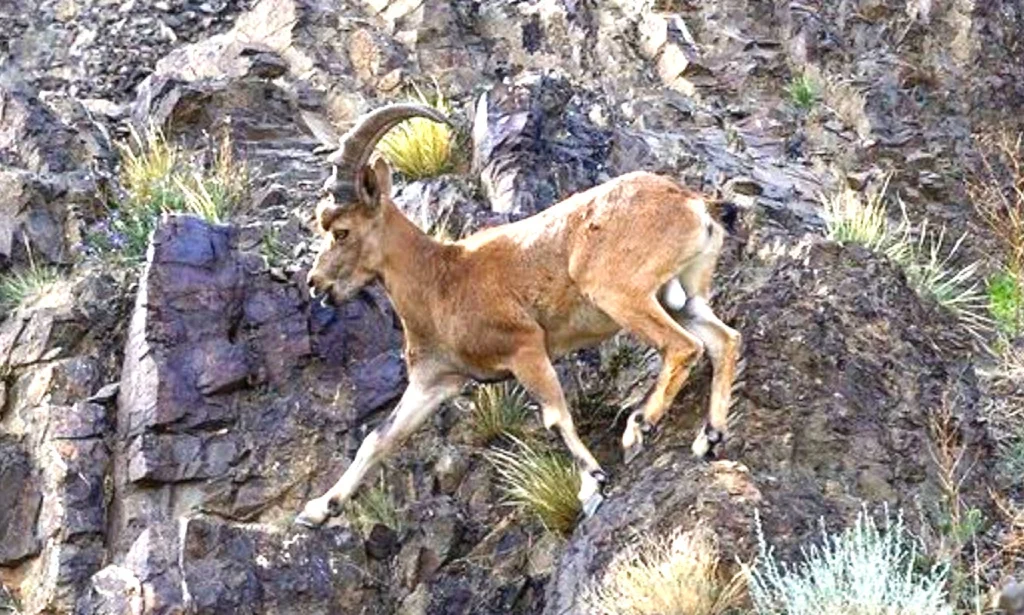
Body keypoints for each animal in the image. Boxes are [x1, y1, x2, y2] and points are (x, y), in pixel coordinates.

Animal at [299, 103, 741, 523]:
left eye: (341, 231)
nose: (316, 283)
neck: (440, 279)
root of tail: (694, 203)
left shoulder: (525, 348)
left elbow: (555, 417)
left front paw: (592, 484)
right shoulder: (435, 380)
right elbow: (377, 440)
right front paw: (318, 510)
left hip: (620, 294)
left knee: (683, 347)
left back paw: (639, 426)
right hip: (682, 296)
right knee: (724, 340)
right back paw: (710, 436)